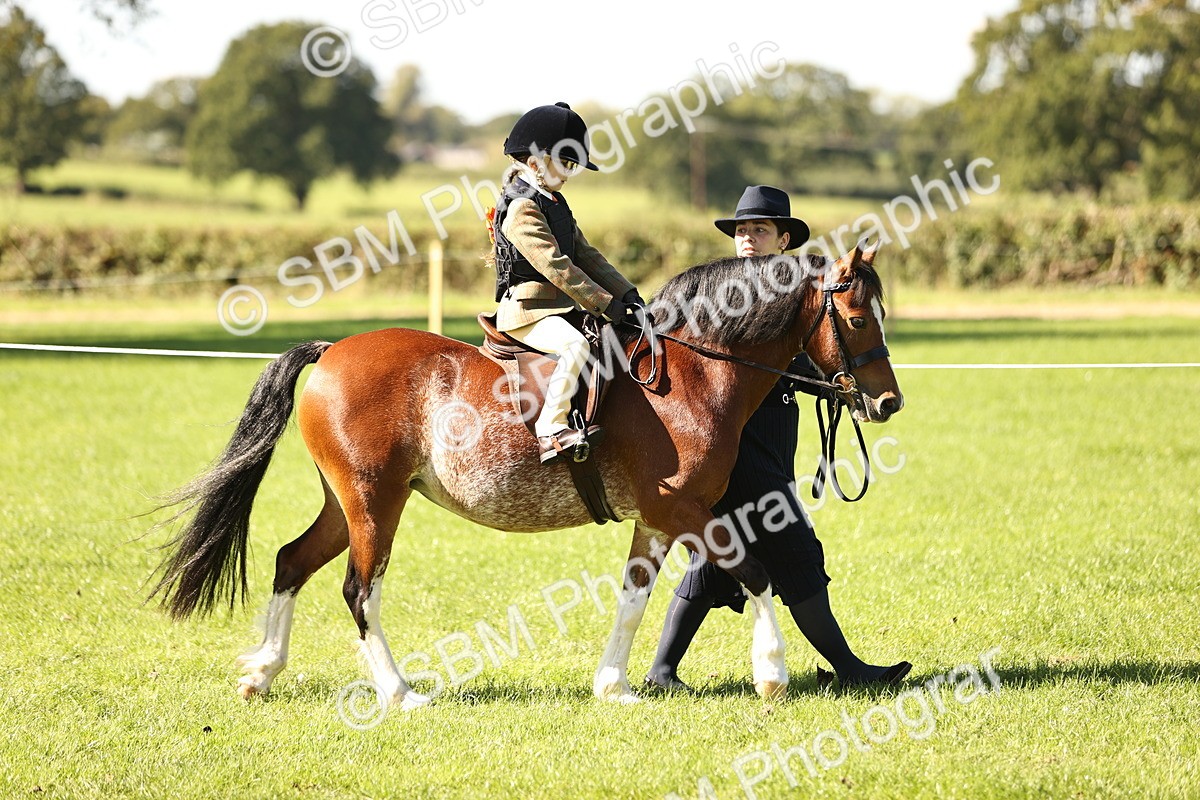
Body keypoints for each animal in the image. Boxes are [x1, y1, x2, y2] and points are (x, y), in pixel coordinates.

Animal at [149, 241, 902, 709]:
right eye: (857, 316)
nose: (888, 402)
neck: (692, 371)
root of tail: (333, 350)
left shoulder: (656, 521)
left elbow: (634, 597)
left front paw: (614, 686)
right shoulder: (683, 509)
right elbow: (755, 570)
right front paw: (772, 673)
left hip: (347, 504)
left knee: (290, 561)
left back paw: (263, 673)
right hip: (374, 504)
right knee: (359, 591)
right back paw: (400, 694)